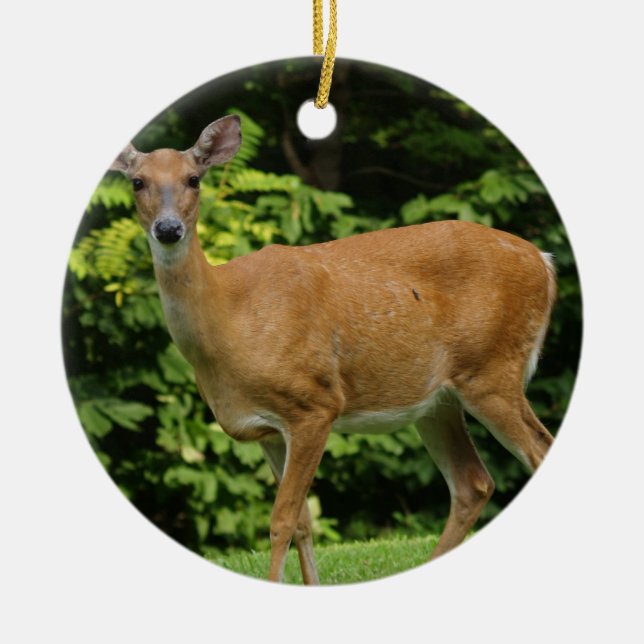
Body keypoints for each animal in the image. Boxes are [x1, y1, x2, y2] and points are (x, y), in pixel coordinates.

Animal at [110, 114, 557, 584]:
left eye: (193, 179)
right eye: (138, 182)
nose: (168, 229)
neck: (230, 320)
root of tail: (543, 262)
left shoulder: (314, 403)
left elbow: (282, 520)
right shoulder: (266, 429)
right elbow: (304, 523)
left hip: (492, 370)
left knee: (536, 452)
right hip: (438, 401)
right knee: (473, 483)